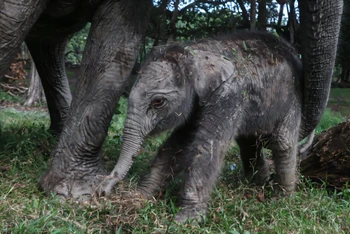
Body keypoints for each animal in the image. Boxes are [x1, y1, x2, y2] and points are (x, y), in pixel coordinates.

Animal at [102, 32, 306, 222]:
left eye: (158, 102)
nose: (103, 190)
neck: (197, 52)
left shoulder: (230, 93)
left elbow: (208, 146)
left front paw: (185, 220)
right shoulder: (196, 104)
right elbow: (178, 146)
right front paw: (141, 197)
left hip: (292, 99)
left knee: (283, 142)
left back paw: (282, 200)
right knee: (249, 143)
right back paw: (257, 185)